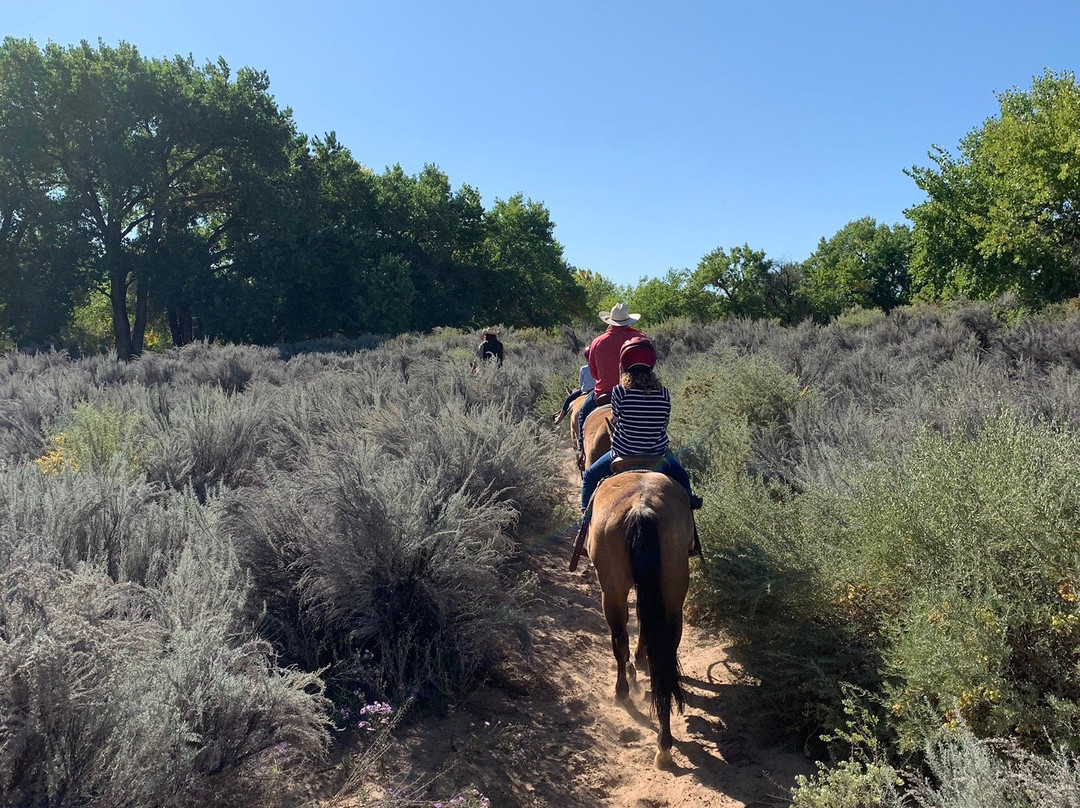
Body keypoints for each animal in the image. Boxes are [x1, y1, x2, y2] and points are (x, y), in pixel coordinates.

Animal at [583, 466, 691, 764]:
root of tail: (642, 509)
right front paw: (642, 658)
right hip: (672, 595)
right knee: (665, 652)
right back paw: (664, 741)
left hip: (612, 591)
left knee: (619, 641)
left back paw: (622, 692)